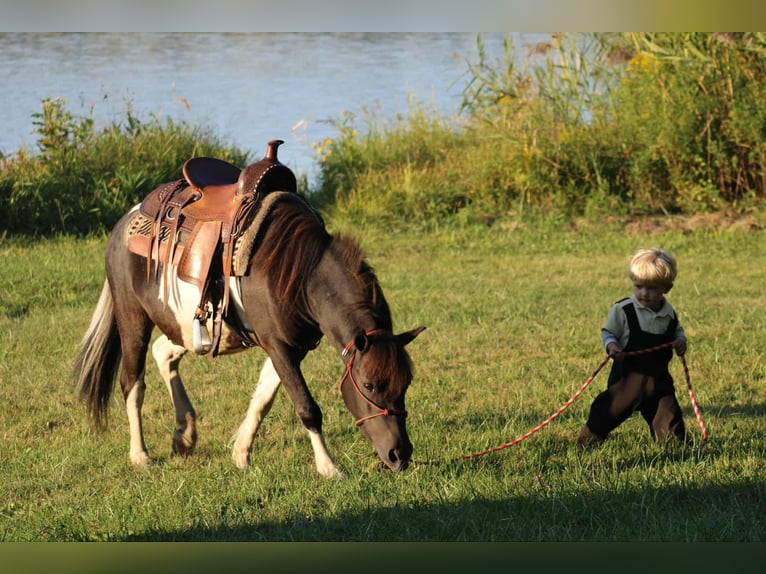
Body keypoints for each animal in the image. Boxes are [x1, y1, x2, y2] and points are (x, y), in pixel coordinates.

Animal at [73, 145, 424, 476]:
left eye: (406, 383)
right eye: (369, 385)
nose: (399, 455)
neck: (300, 272)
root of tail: (124, 223)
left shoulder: (292, 346)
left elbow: (263, 398)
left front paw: (241, 454)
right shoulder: (278, 344)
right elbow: (307, 407)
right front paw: (329, 467)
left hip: (183, 326)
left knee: (164, 352)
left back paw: (184, 434)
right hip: (132, 317)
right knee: (132, 383)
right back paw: (140, 455)